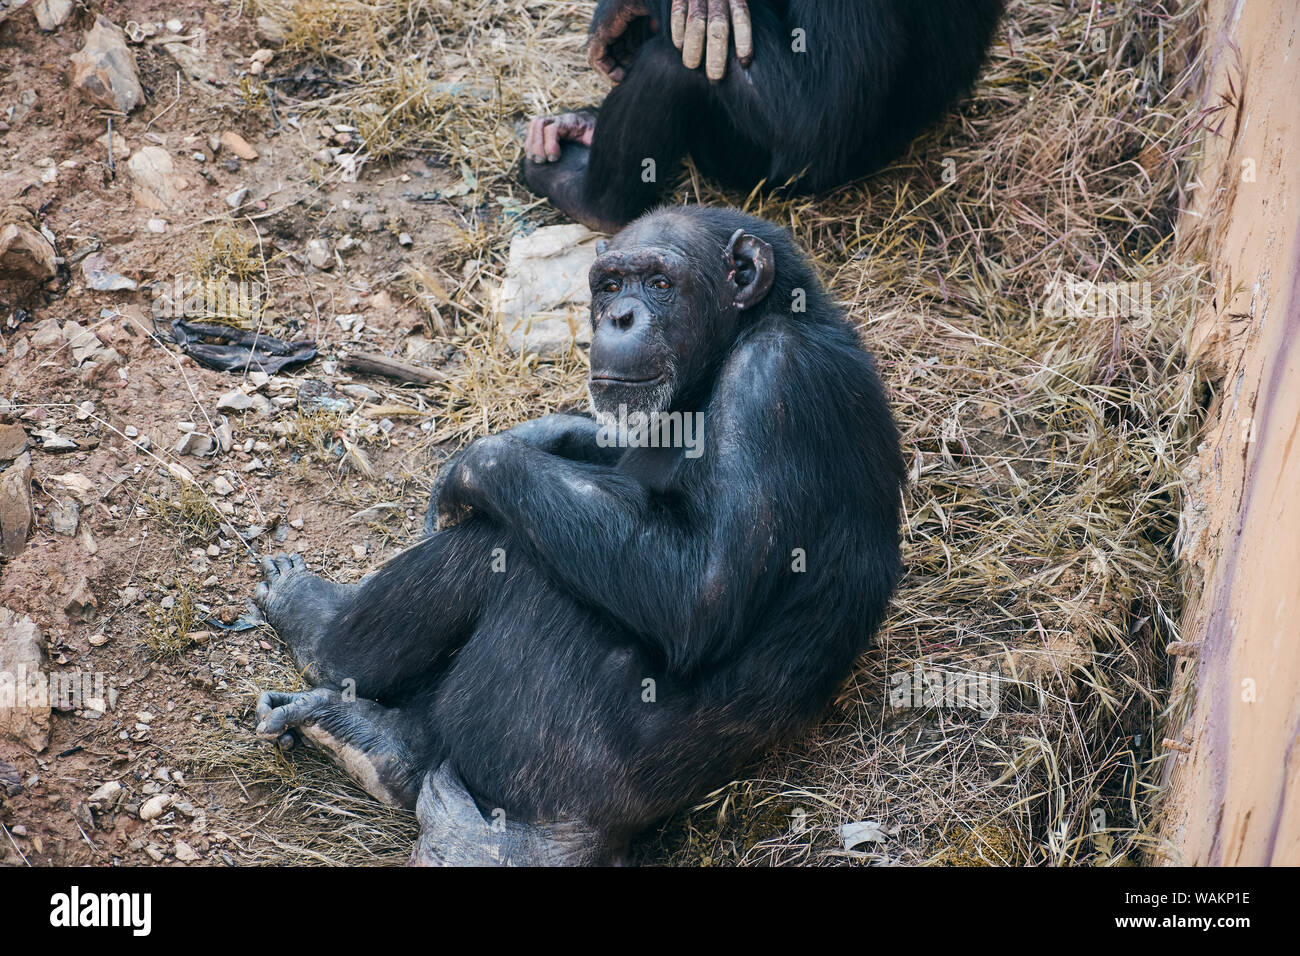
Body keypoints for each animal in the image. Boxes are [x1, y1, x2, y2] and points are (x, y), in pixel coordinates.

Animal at [250, 205, 904, 863]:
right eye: (610, 285)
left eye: (660, 284)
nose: (620, 316)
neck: (736, 343)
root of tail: (584, 834)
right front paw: (540, 433)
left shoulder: (771, 380)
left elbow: (704, 589)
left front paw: (478, 462)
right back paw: (373, 736)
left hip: (534, 753)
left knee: (515, 548)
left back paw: (317, 628)